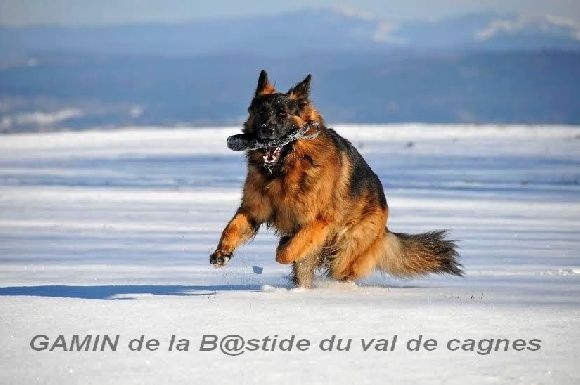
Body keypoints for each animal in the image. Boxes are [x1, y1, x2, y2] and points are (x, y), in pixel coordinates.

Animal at [208, 70, 462, 286]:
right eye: (261, 113)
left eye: (282, 114)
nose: (265, 131)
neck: (284, 171)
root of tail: (385, 226)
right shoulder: (253, 210)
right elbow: (231, 228)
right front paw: (222, 253)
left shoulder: (319, 221)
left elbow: (287, 252)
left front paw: (283, 246)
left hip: (344, 253)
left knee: (340, 270)